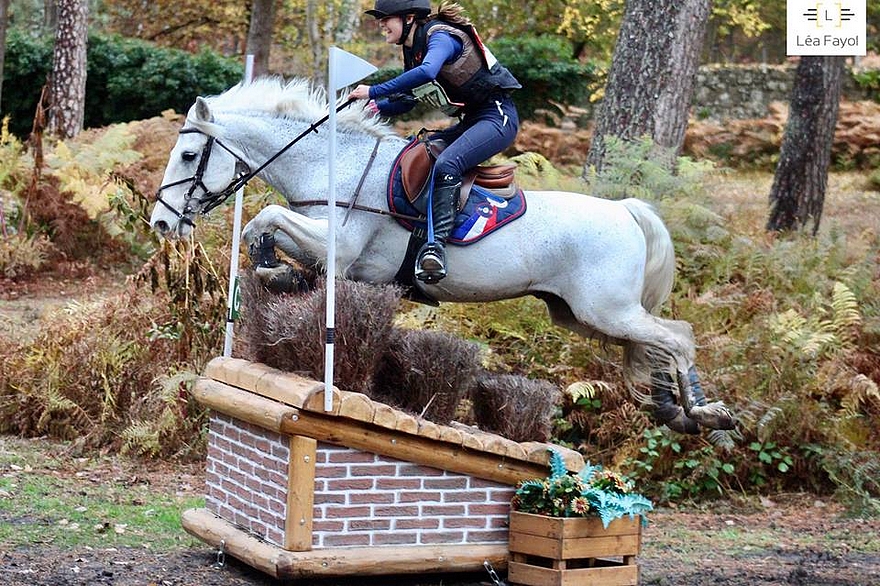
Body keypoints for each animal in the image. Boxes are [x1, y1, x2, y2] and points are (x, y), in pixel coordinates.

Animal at [151, 77, 736, 432]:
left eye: (189, 154)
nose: (161, 222)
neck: (331, 165)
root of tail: (625, 210)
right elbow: (262, 231)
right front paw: (276, 270)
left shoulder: (339, 245)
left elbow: (266, 218)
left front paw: (272, 264)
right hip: (580, 315)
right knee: (657, 341)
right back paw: (676, 411)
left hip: (605, 309)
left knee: (678, 337)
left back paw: (706, 414)